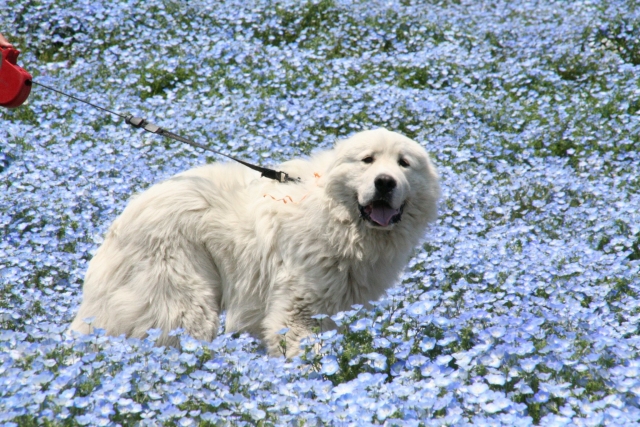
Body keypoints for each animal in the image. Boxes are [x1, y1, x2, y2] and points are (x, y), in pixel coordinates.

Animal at [70, 129, 440, 356]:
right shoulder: (298, 312)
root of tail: (124, 217)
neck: (335, 216)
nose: (385, 182)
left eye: (404, 163)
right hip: (186, 304)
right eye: (367, 160)